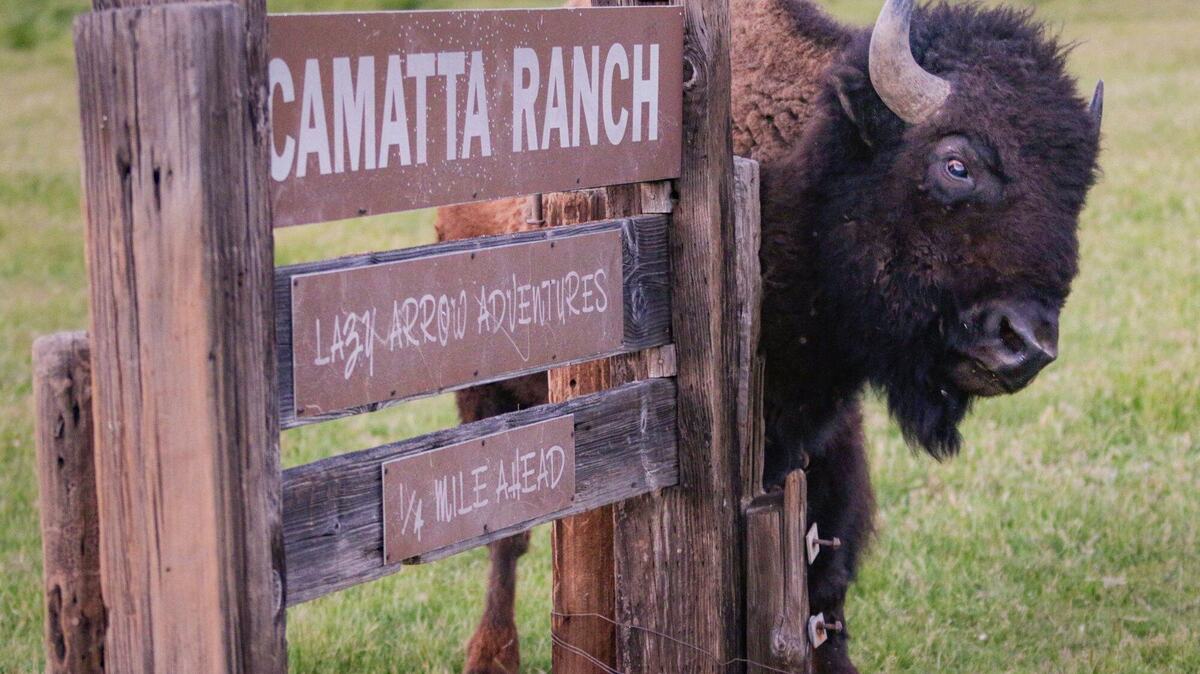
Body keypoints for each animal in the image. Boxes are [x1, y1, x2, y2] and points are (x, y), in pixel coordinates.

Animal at [439, 1, 1104, 672]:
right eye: (956, 164)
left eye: (1078, 189)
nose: (1025, 344)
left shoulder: (823, 442)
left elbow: (825, 583)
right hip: (492, 402)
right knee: (507, 540)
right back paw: (490, 653)